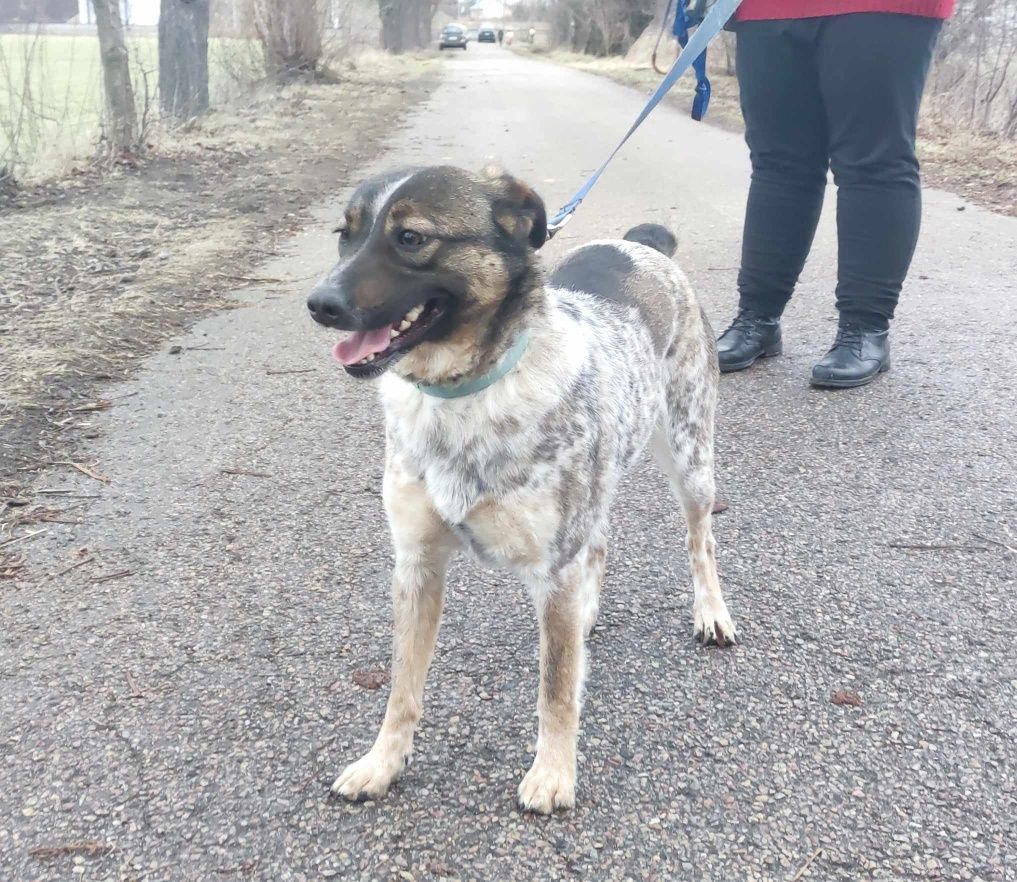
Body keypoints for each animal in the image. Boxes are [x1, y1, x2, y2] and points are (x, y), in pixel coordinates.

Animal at [305, 163, 736, 813]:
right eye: (344, 234)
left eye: (411, 237)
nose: (319, 304)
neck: (464, 393)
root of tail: (643, 245)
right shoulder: (417, 565)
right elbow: (402, 688)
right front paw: (382, 763)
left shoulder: (552, 569)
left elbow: (556, 686)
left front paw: (554, 773)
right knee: (600, 544)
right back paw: (588, 612)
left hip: (689, 458)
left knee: (699, 540)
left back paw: (711, 612)